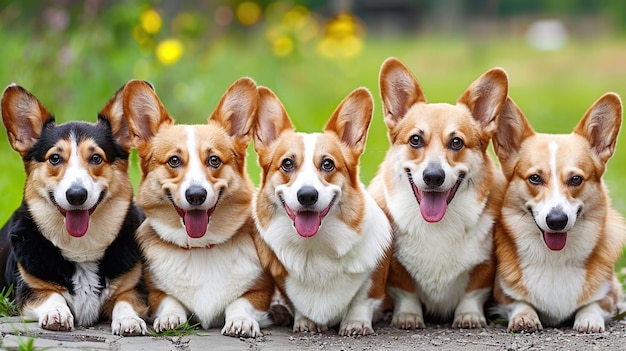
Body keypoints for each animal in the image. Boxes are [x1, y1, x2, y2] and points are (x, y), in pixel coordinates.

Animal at [0, 82, 147, 336]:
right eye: (55, 158)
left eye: (96, 158)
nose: (76, 195)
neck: (81, 248)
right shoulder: (29, 290)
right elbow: (51, 295)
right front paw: (57, 314)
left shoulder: (133, 288)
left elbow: (125, 301)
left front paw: (129, 320)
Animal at [124, 79, 272, 338]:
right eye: (174, 161)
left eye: (214, 160)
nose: (195, 195)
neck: (201, 247)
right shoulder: (155, 293)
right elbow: (170, 300)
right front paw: (170, 318)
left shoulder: (260, 293)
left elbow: (239, 302)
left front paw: (241, 322)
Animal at [252, 84, 390, 336]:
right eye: (287, 163)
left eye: (328, 164)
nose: (307, 195)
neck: (314, 247)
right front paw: (305, 321)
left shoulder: (373, 278)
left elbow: (362, 299)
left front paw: (355, 323)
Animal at [368, 57, 510, 330]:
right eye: (415, 140)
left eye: (456, 142)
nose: (433, 176)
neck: (438, 226)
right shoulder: (397, 269)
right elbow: (407, 293)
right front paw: (408, 317)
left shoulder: (485, 265)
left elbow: (472, 293)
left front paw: (469, 316)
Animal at [490, 94, 620, 336]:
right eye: (534, 178)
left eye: (576, 179)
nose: (557, 221)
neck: (554, 259)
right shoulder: (502, 295)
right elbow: (519, 302)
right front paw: (525, 317)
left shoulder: (611, 293)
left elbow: (594, 304)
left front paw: (589, 319)